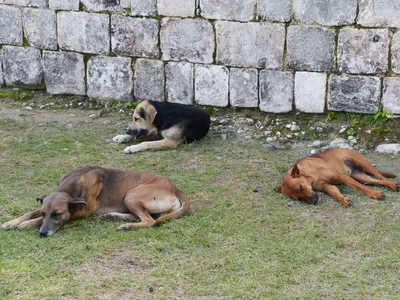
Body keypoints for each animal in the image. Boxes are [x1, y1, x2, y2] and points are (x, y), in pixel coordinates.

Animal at [1, 166, 191, 237]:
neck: (71, 187)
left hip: (131, 195)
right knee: (145, 216)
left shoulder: (84, 210)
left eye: (57, 214)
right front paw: (12, 222)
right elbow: (31, 212)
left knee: (149, 221)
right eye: (44, 213)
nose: (42, 233)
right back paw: (115, 216)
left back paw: (126, 226)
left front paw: (26, 224)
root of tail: (175, 188)